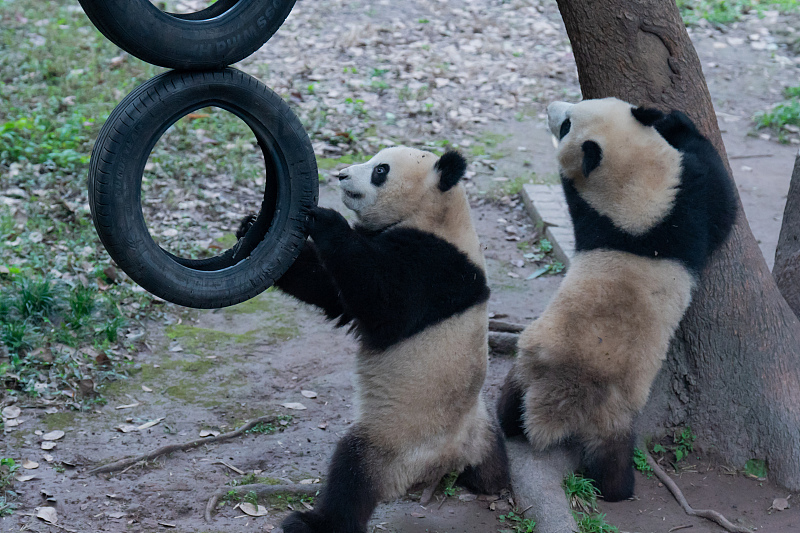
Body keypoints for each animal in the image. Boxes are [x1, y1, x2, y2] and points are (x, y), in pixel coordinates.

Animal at [241, 146, 510, 533]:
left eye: (380, 170)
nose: (340, 175)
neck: (438, 211)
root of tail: (446, 456)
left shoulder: (436, 267)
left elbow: (384, 302)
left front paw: (325, 221)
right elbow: (329, 289)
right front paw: (249, 227)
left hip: (396, 440)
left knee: (353, 471)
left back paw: (313, 523)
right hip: (480, 424)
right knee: (494, 459)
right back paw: (491, 480)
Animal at [497, 97, 737, 502]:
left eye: (567, 119)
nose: (550, 107)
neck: (633, 187)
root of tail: (561, 391)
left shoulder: (611, 213)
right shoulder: (686, 206)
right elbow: (723, 198)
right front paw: (678, 122)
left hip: (530, 364)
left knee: (511, 403)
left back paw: (511, 423)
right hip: (613, 404)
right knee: (611, 451)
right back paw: (617, 488)